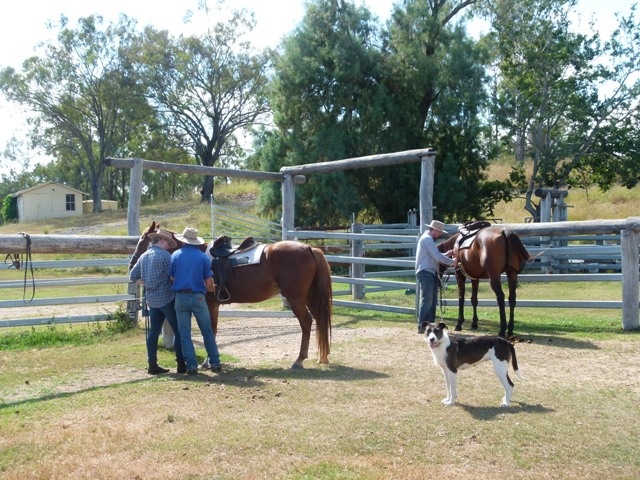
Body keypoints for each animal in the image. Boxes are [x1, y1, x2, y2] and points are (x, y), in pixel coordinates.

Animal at [128, 221, 332, 368]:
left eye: (143, 240)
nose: (132, 264)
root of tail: (309, 248)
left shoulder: (208, 304)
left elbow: (209, 330)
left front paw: (208, 362)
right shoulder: (215, 305)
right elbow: (213, 330)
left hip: (295, 298)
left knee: (306, 322)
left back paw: (299, 360)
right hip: (309, 297)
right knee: (319, 320)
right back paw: (322, 357)